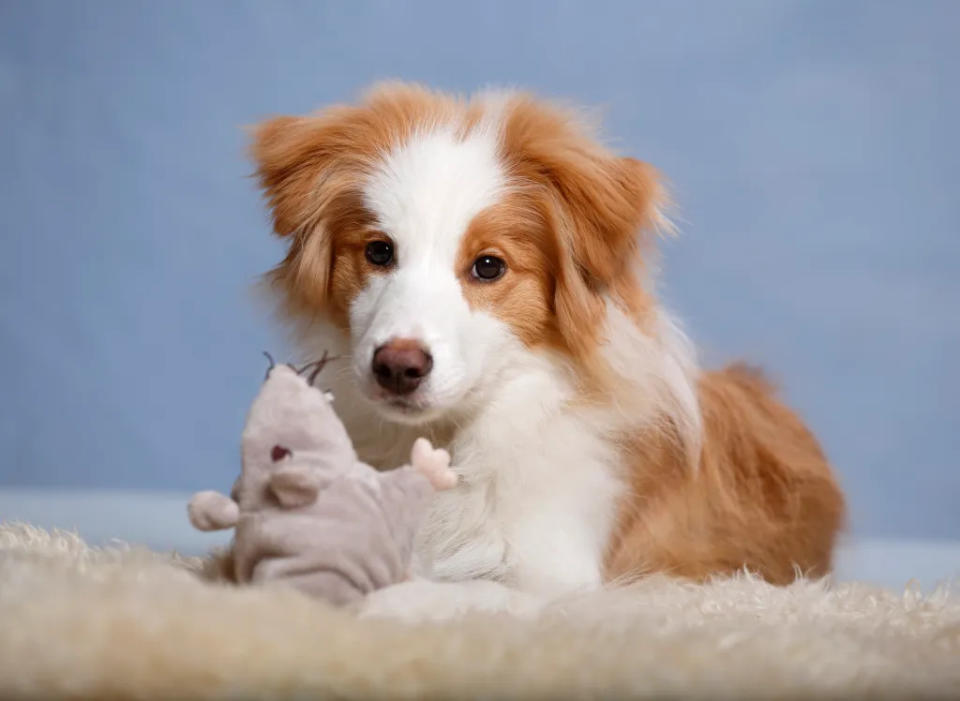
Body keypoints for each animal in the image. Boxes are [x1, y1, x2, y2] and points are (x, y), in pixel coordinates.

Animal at [251, 83, 844, 600]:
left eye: (489, 265)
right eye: (378, 251)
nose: (398, 366)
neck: (450, 440)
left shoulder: (554, 576)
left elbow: (444, 595)